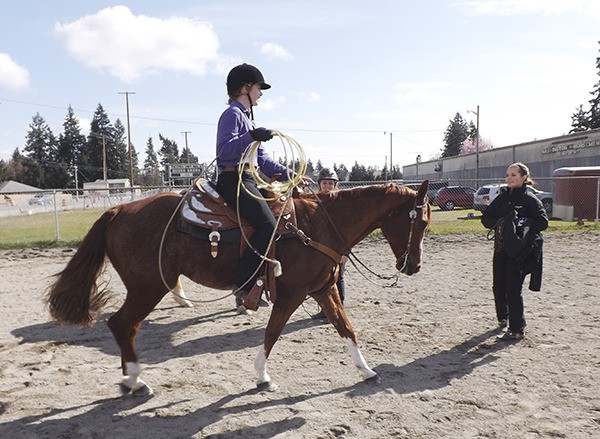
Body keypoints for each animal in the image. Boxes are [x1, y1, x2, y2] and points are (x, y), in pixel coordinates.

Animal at [45, 180, 432, 398]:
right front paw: (262, 376)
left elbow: (346, 328)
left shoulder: (323, 290)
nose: (413, 266)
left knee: (122, 326)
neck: (319, 225)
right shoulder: (292, 293)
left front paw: (366, 370)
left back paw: (131, 380)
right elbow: (273, 332)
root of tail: (120, 209)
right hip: (147, 287)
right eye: (424, 221)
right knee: (123, 325)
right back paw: (136, 382)